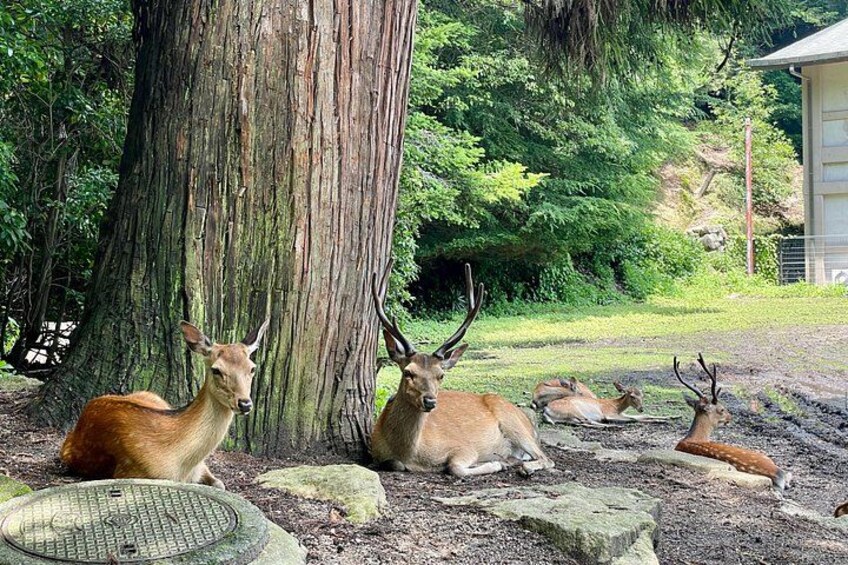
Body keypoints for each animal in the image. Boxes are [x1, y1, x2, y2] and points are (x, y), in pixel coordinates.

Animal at [60, 319, 269, 489]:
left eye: (252, 368)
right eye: (216, 370)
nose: (245, 404)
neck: (182, 465)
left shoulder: (202, 467)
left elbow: (220, 484)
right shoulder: (131, 472)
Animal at [370, 261, 554, 478]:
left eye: (441, 375)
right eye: (408, 372)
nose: (430, 401)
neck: (410, 453)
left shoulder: (465, 447)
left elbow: (455, 467)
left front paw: (496, 464)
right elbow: (393, 463)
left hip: (515, 424)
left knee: (546, 458)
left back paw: (520, 466)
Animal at [541, 381, 671, 427]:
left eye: (642, 396)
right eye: (632, 396)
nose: (641, 408)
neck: (616, 407)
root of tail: (545, 411)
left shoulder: (622, 414)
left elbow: (642, 416)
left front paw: (668, 418)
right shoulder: (609, 413)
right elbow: (633, 419)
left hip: (569, 418)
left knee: (582, 423)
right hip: (573, 410)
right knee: (586, 420)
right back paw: (610, 426)